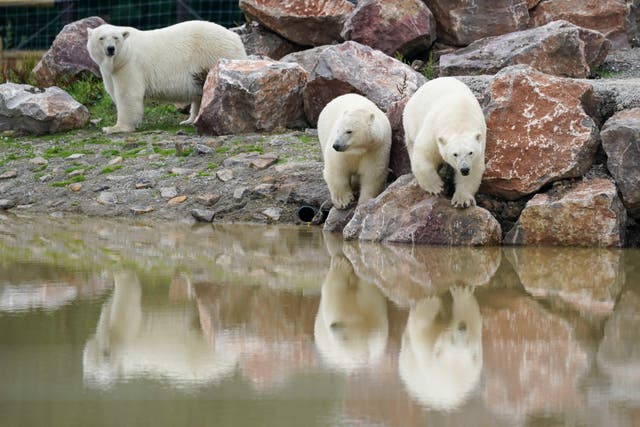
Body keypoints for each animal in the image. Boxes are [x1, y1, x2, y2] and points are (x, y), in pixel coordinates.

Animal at [89, 20, 249, 133]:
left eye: (115, 37)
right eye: (101, 38)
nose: (110, 49)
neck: (121, 57)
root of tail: (235, 37)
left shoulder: (130, 65)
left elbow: (127, 94)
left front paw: (114, 128)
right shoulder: (112, 71)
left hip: (214, 56)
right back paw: (190, 120)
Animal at [402, 78, 488, 211]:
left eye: (470, 152)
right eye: (455, 154)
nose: (464, 169)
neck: (459, 119)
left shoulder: (480, 144)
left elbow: (474, 170)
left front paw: (462, 200)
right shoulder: (433, 132)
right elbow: (424, 155)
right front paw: (436, 187)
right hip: (411, 119)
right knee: (411, 144)